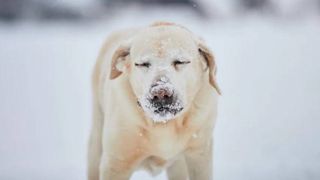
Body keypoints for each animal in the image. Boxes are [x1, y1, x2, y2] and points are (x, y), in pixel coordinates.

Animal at [87, 21, 220, 179]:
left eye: (180, 62)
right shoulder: (116, 163)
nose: (160, 93)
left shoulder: (199, 155)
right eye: (142, 64)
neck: (163, 124)